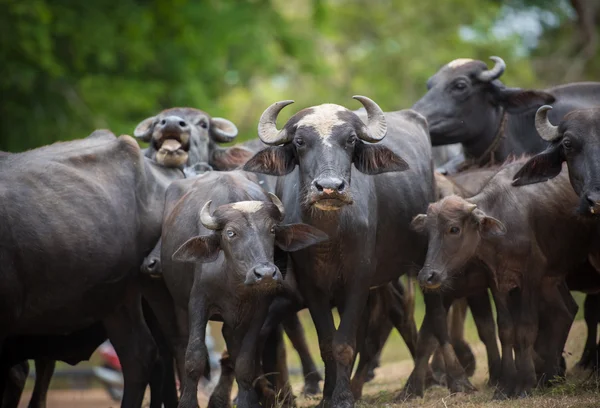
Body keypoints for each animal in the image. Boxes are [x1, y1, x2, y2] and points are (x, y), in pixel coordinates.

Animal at [159, 171, 326, 408]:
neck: (234, 282)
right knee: (182, 345)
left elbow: (246, 360)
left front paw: (248, 400)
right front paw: (189, 402)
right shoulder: (198, 303)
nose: (266, 273)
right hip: (179, 305)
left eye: (272, 229)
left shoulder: (260, 309)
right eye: (230, 233)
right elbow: (194, 356)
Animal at [244, 96, 436, 408]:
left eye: (351, 140)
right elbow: (327, 343)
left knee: (427, 318)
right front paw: (327, 396)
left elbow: (345, 343)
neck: (329, 237)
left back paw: (423, 383)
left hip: (422, 261)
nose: (330, 188)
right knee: (396, 316)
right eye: (299, 141)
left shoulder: (359, 278)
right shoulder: (311, 285)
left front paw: (343, 398)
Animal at [412, 159, 592, 398]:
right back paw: (550, 374)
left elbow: (526, 328)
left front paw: (525, 384)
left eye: (454, 229)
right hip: (551, 279)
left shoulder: (531, 277)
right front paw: (507, 385)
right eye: (429, 233)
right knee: (565, 311)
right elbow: (505, 330)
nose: (427, 275)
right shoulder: (497, 282)